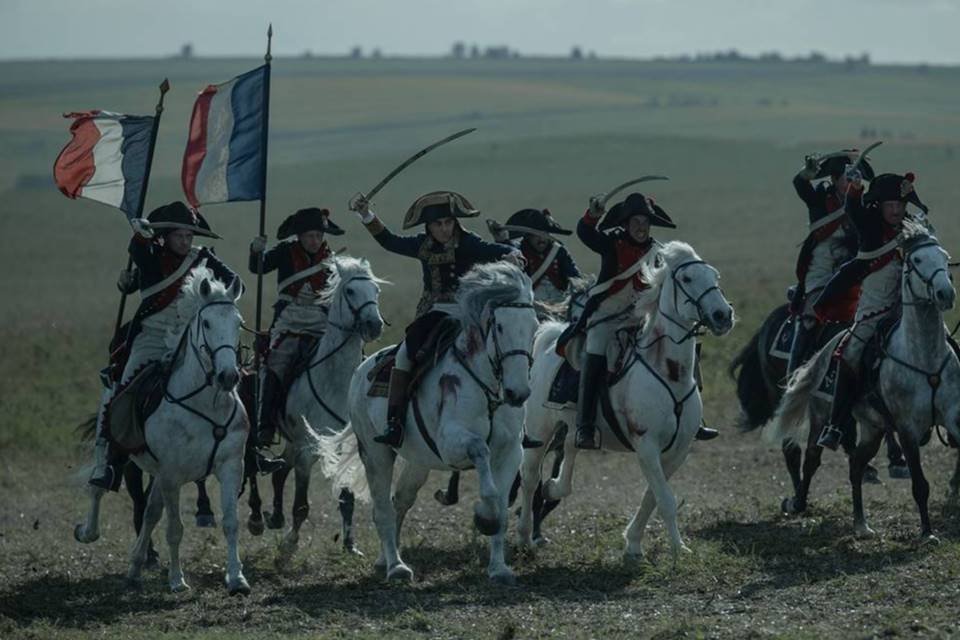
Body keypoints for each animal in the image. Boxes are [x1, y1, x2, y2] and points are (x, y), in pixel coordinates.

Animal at [76, 264, 248, 596]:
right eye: (206, 322)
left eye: (238, 323)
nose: (228, 376)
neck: (204, 404)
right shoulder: (171, 475)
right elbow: (174, 528)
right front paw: (177, 580)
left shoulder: (230, 466)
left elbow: (231, 523)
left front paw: (236, 578)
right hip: (118, 453)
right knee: (99, 488)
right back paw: (88, 531)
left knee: (150, 511)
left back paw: (135, 566)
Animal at [248, 255, 386, 560]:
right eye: (350, 291)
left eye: (376, 291)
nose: (375, 325)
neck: (334, 379)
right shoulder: (307, 449)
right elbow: (301, 504)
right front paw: (289, 545)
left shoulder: (342, 447)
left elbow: (346, 498)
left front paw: (350, 545)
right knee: (259, 467)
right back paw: (259, 519)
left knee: (280, 471)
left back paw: (275, 517)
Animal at [324, 262, 540, 584]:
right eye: (500, 327)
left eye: (534, 327)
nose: (518, 393)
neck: (485, 385)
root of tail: (362, 369)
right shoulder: (452, 444)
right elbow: (481, 454)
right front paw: (484, 517)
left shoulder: (511, 452)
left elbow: (502, 504)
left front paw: (499, 568)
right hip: (376, 454)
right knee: (382, 509)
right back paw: (396, 567)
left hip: (417, 462)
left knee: (399, 502)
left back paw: (384, 560)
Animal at [516, 241, 736, 560]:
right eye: (687, 278)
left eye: (714, 276)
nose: (723, 315)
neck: (668, 372)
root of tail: (547, 339)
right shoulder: (646, 446)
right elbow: (665, 500)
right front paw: (678, 549)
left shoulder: (678, 450)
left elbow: (651, 497)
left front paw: (634, 543)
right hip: (538, 431)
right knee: (530, 477)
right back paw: (524, 535)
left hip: (570, 427)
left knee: (569, 446)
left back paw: (555, 488)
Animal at [768, 226, 960, 540]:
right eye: (917, 260)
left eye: (944, 257)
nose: (945, 293)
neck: (924, 359)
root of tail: (827, 349)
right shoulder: (907, 429)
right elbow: (920, 484)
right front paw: (927, 533)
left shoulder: (954, 418)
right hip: (822, 417)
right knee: (812, 459)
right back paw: (798, 503)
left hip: (873, 428)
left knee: (856, 464)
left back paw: (861, 523)